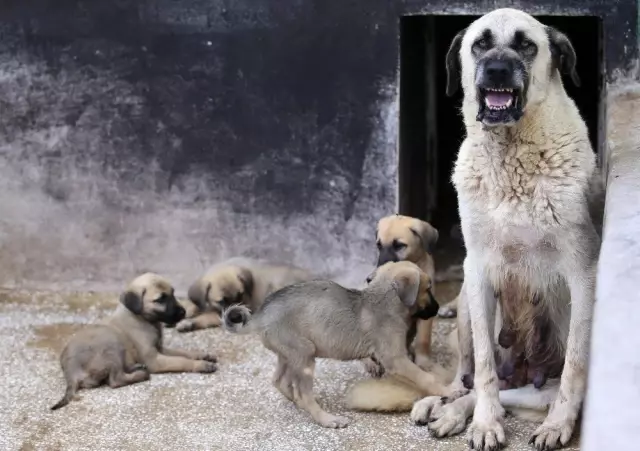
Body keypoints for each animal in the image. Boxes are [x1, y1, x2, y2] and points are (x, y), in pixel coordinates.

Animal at [49, 274, 218, 412]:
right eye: (160, 299)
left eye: (173, 293)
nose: (183, 312)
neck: (141, 318)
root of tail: (71, 372)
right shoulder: (154, 359)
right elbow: (182, 361)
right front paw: (202, 365)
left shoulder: (160, 349)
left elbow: (183, 353)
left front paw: (203, 355)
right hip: (112, 343)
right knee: (115, 380)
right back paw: (141, 373)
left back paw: (137, 367)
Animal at [410, 7, 604, 451]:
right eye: (480, 44)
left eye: (526, 45)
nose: (497, 69)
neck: (511, 154)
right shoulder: (478, 270)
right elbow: (483, 366)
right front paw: (484, 423)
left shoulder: (583, 273)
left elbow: (575, 366)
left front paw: (557, 424)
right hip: (465, 300)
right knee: (473, 380)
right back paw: (444, 405)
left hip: (537, 386)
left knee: (520, 391)